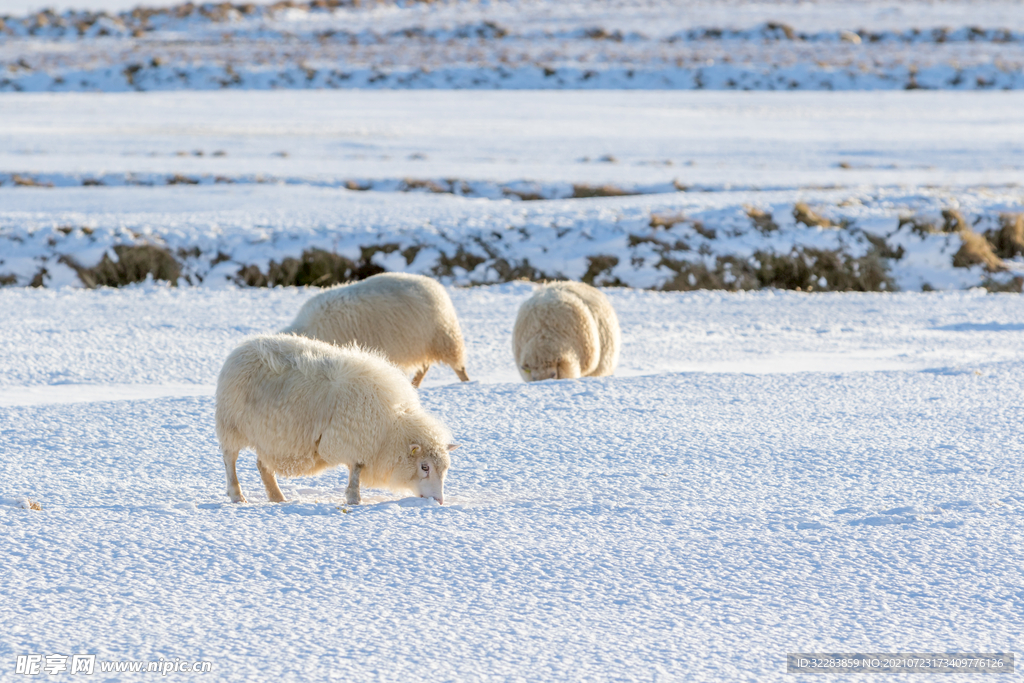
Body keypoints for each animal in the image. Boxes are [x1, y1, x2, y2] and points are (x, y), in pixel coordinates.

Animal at [215, 333, 456, 505]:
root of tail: (242, 348)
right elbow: (355, 473)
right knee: (230, 460)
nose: (439, 501)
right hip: (231, 425)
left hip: (267, 436)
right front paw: (354, 499)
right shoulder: (355, 441)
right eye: (424, 467)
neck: (391, 429)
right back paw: (237, 496)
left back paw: (277, 497)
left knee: (262, 465)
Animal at [282, 274, 468, 389]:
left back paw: (466, 383)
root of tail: (434, 284)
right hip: (422, 342)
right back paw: (414, 385)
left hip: (444, 338)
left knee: (459, 367)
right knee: (425, 366)